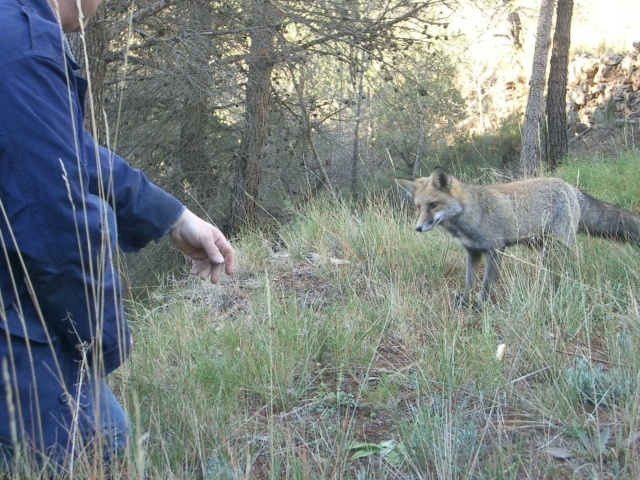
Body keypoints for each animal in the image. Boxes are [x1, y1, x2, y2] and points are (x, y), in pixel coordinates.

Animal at [396, 167, 640, 306]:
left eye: (433, 205)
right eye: (418, 207)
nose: (418, 228)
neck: (471, 215)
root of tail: (570, 186)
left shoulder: (495, 249)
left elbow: (486, 284)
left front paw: (481, 304)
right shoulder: (472, 252)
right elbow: (469, 281)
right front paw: (465, 302)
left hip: (562, 245)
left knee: (577, 263)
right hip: (545, 248)